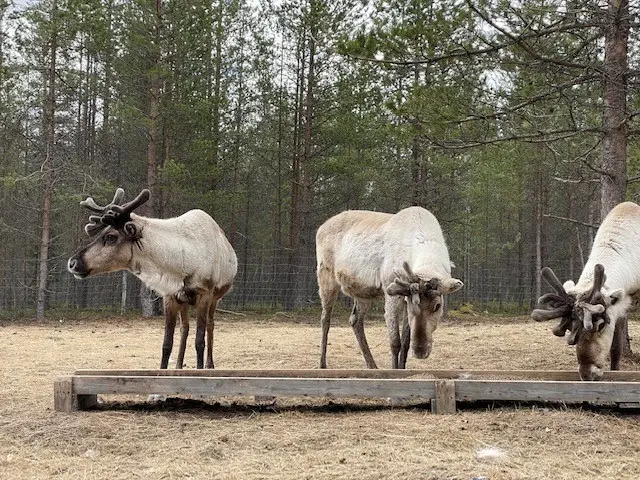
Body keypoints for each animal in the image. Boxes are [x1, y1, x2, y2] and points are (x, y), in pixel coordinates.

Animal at [67, 188, 238, 370]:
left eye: (110, 237)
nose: (72, 263)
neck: (181, 261)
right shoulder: (170, 296)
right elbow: (166, 344)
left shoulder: (204, 294)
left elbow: (200, 341)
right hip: (184, 301)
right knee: (184, 327)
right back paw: (179, 365)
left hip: (215, 298)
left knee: (210, 325)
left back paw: (209, 364)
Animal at [316, 206, 464, 369]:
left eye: (438, 306)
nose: (420, 351)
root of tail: (321, 227)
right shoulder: (392, 293)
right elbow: (395, 343)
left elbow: (405, 344)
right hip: (326, 277)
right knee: (325, 319)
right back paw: (322, 364)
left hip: (362, 292)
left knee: (355, 319)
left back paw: (372, 366)